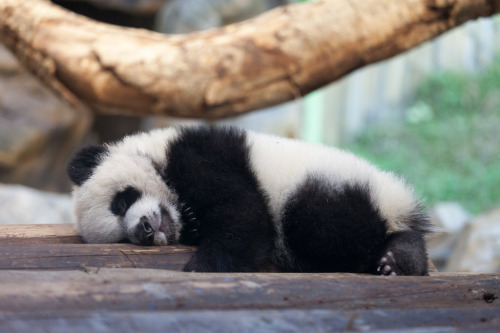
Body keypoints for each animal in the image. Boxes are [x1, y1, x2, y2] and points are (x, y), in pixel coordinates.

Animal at [68, 126, 432, 274]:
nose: (143, 228)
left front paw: (203, 265)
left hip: (328, 185)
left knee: (324, 224)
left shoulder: (201, 156)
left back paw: (401, 258)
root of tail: (402, 202)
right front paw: (194, 227)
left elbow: (243, 214)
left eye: (121, 202)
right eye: (121, 237)